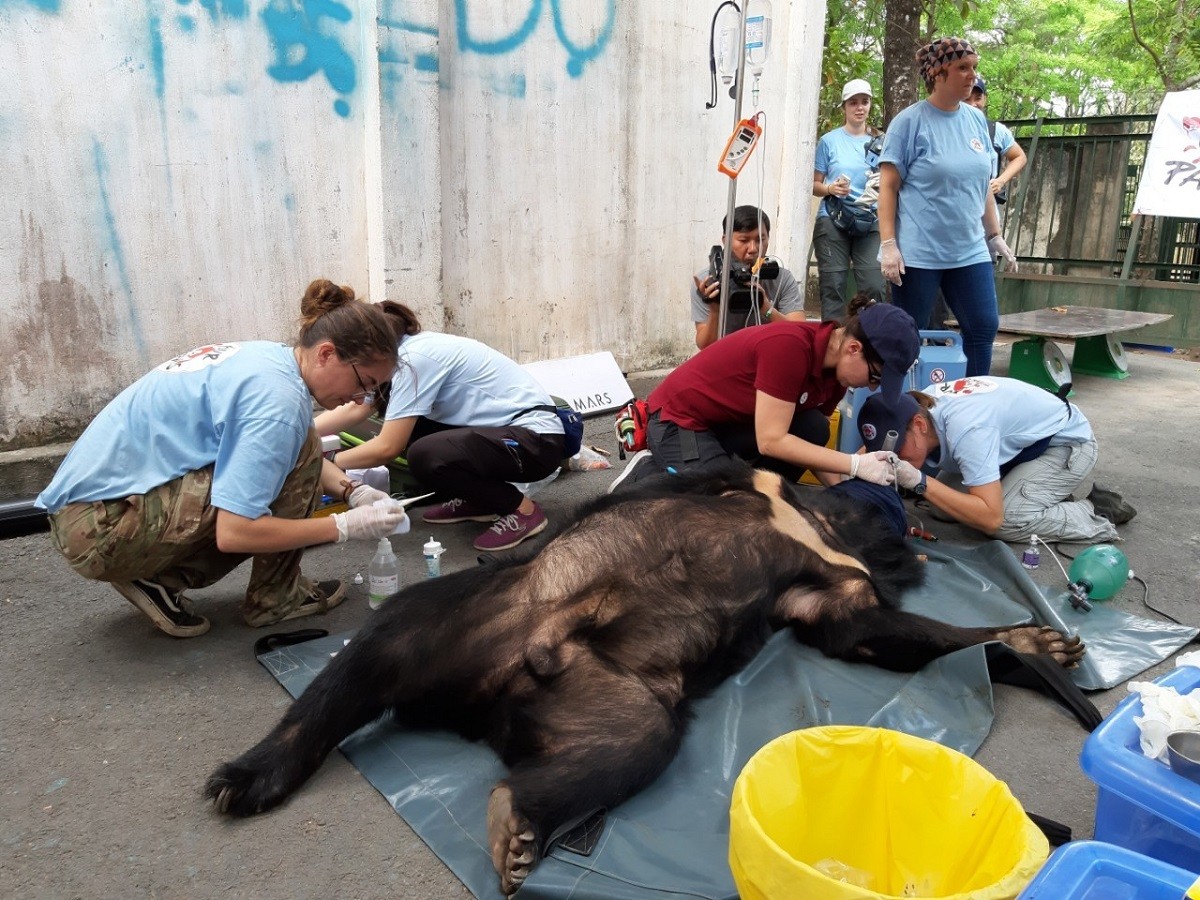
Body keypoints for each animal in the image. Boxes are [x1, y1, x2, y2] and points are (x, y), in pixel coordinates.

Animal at [201, 465, 1084, 897]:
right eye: (887, 512)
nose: (911, 529)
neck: (816, 525)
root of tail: (480, 699)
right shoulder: (751, 484)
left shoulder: (835, 598)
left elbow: (873, 634)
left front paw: (1028, 638)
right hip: (448, 619)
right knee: (350, 675)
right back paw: (251, 773)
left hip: (608, 701)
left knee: (618, 747)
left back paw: (520, 825)